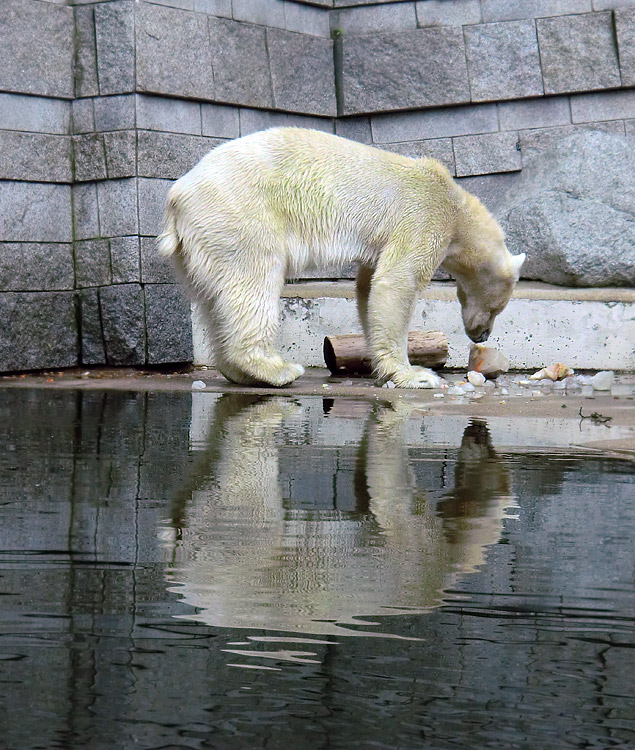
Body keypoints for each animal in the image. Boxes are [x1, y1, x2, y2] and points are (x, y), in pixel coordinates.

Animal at [157, 127, 524, 388]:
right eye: (497, 308)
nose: (482, 336)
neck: (458, 207)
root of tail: (178, 194)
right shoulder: (423, 215)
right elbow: (398, 281)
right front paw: (415, 375)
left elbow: (369, 287)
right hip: (241, 215)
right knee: (253, 282)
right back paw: (276, 370)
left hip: (204, 242)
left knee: (212, 299)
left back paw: (241, 372)